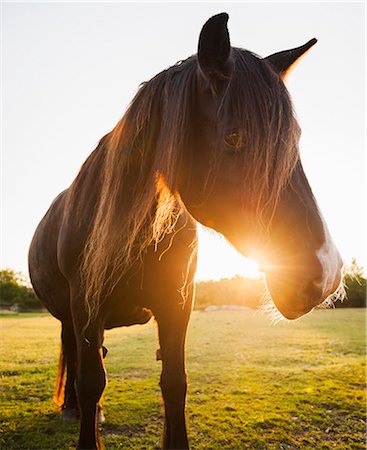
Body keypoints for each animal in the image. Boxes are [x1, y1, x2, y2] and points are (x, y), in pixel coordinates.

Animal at [29, 12, 344, 448]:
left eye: (294, 138)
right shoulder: (85, 303)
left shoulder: (177, 303)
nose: (326, 273)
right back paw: (74, 410)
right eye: (234, 136)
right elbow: (91, 379)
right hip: (70, 314)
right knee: (76, 356)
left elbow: (174, 382)